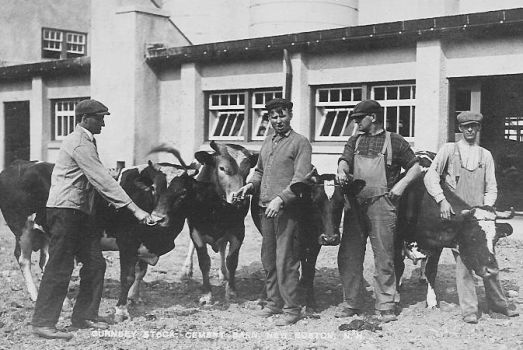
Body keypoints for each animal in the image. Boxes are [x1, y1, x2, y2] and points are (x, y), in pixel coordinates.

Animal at [176, 141, 258, 304]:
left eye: (247, 170)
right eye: (222, 168)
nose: (239, 198)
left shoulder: (238, 229)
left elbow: (232, 260)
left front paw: (231, 290)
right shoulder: (195, 229)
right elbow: (204, 261)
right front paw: (206, 294)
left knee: (222, 248)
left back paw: (223, 273)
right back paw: (186, 270)